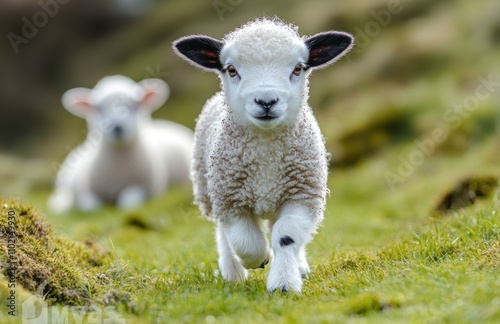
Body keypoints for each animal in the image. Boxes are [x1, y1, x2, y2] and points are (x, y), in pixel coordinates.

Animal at [47, 74, 193, 214]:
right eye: (98, 108)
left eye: (134, 105)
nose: (117, 127)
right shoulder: (86, 190)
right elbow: (90, 206)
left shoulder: (144, 187)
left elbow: (128, 201)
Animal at [174, 17, 354, 292]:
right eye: (231, 70)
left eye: (298, 68)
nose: (266, 101)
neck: (266, 153)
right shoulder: (230, 199)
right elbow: (245, 241)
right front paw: (257, 260)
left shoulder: (303, 194)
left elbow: (286, 236)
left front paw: (284, 283)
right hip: (209, 190)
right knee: (223, 234)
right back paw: (233, 272)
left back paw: (299, 267)